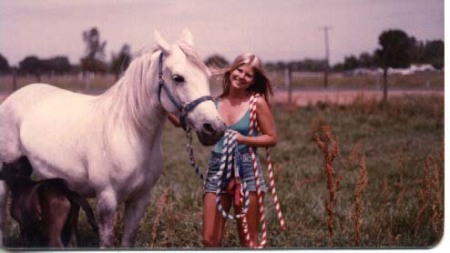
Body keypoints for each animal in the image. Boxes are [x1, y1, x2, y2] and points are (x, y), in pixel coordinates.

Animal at [0, 29, 225, 247]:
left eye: (207, 76)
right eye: (178, 78)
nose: (213, 128)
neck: (129, 132)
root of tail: (12, 98)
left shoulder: (139, 200)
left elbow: (128, 240)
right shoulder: (107, 200)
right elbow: (106, 241)